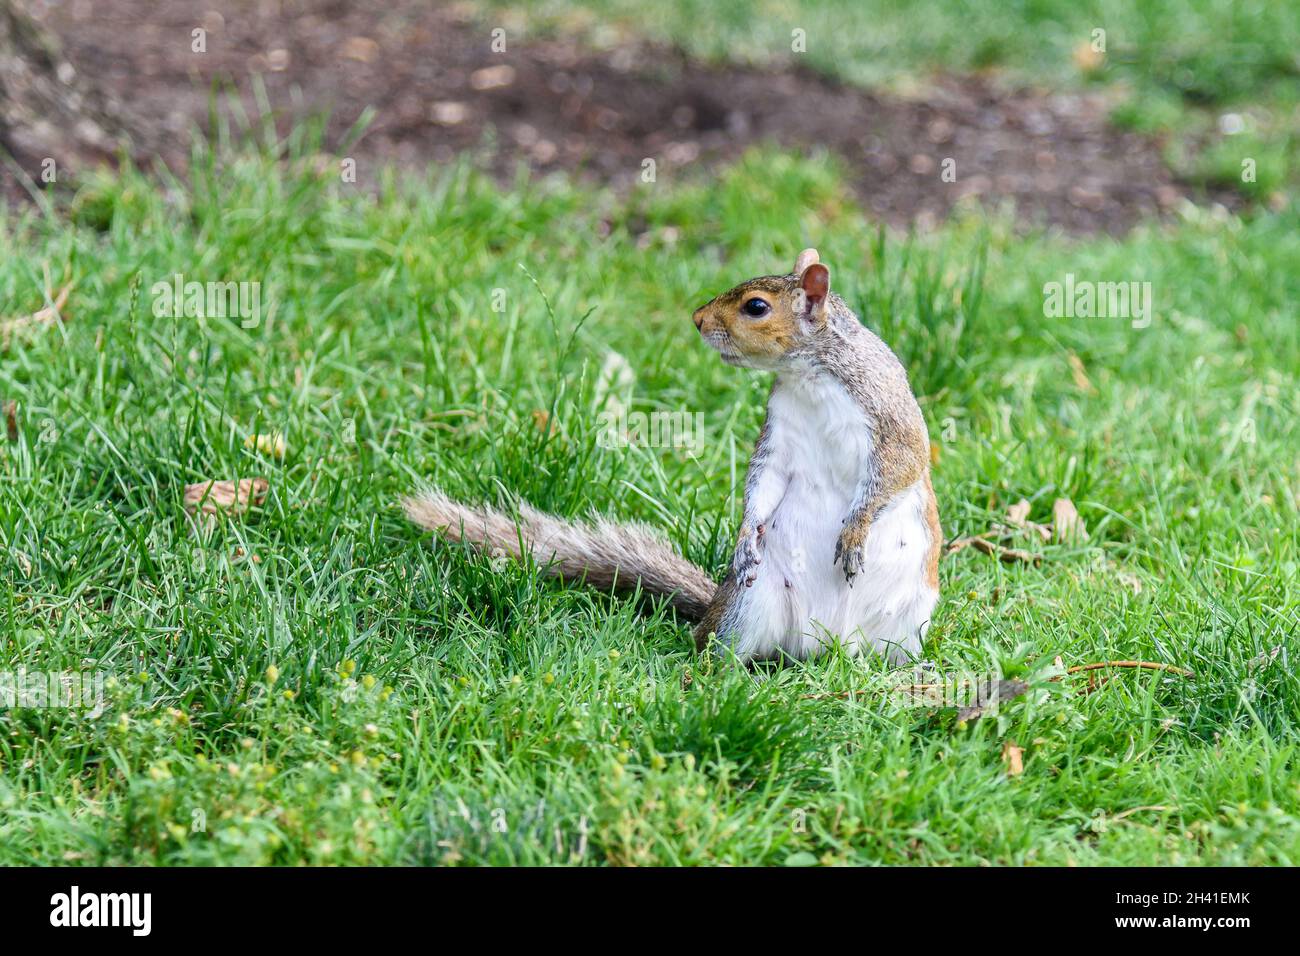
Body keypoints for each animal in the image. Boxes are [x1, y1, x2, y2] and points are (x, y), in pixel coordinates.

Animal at [403, 249, 941, 664]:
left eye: (756, 307)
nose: (698, 319)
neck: (808, 373)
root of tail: (820, 647)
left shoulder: (890, 418)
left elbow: (898, 469)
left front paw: (854, 531)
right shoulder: (780, 437)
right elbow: (763, 481)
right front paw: (745, 537)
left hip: (908, 616)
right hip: (749, 604)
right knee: (716, 647)